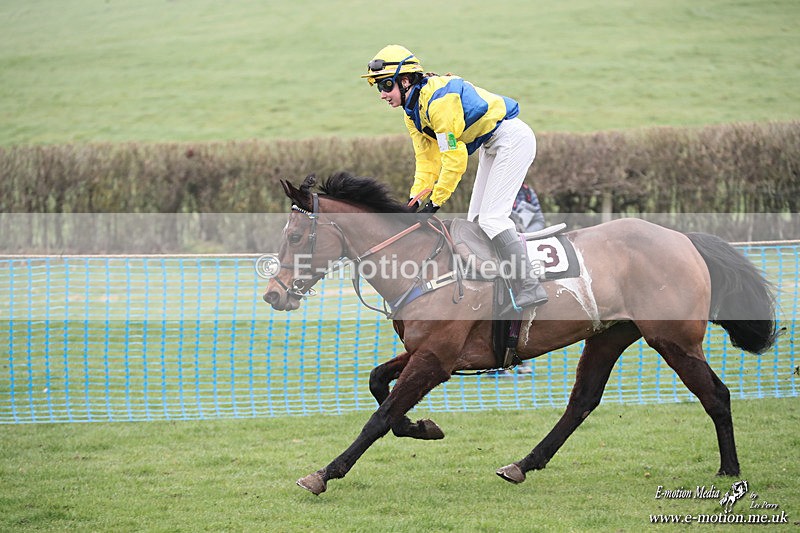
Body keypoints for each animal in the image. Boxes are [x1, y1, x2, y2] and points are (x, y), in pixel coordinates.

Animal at [262, 172, 778, 496]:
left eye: (294, 237)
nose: (272, 294)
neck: (423, 264)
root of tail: (684, 238)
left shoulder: (435, 359)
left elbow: (380, 416)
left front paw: (325, 473)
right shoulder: (428, 352)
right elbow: (376, 384)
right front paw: (422, 427)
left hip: (674, 340)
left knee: (716, 395)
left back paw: (730, 470)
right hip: (609, 335)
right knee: (582, 402)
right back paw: (523, 464)